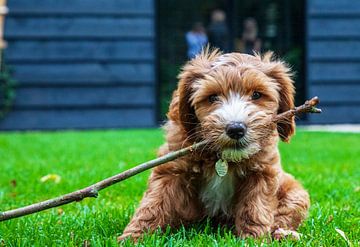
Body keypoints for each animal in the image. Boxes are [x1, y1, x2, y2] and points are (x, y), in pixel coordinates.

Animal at [119, 48, 310, 241]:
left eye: (256, 94)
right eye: (212, 97)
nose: (236, 129)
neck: (222, 156)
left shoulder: (263, 171)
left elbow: (255, 208)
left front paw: (253, 239)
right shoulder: (171, 168)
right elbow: (154, 202)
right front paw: (134, 237)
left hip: (296, 193)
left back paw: (284, 233)